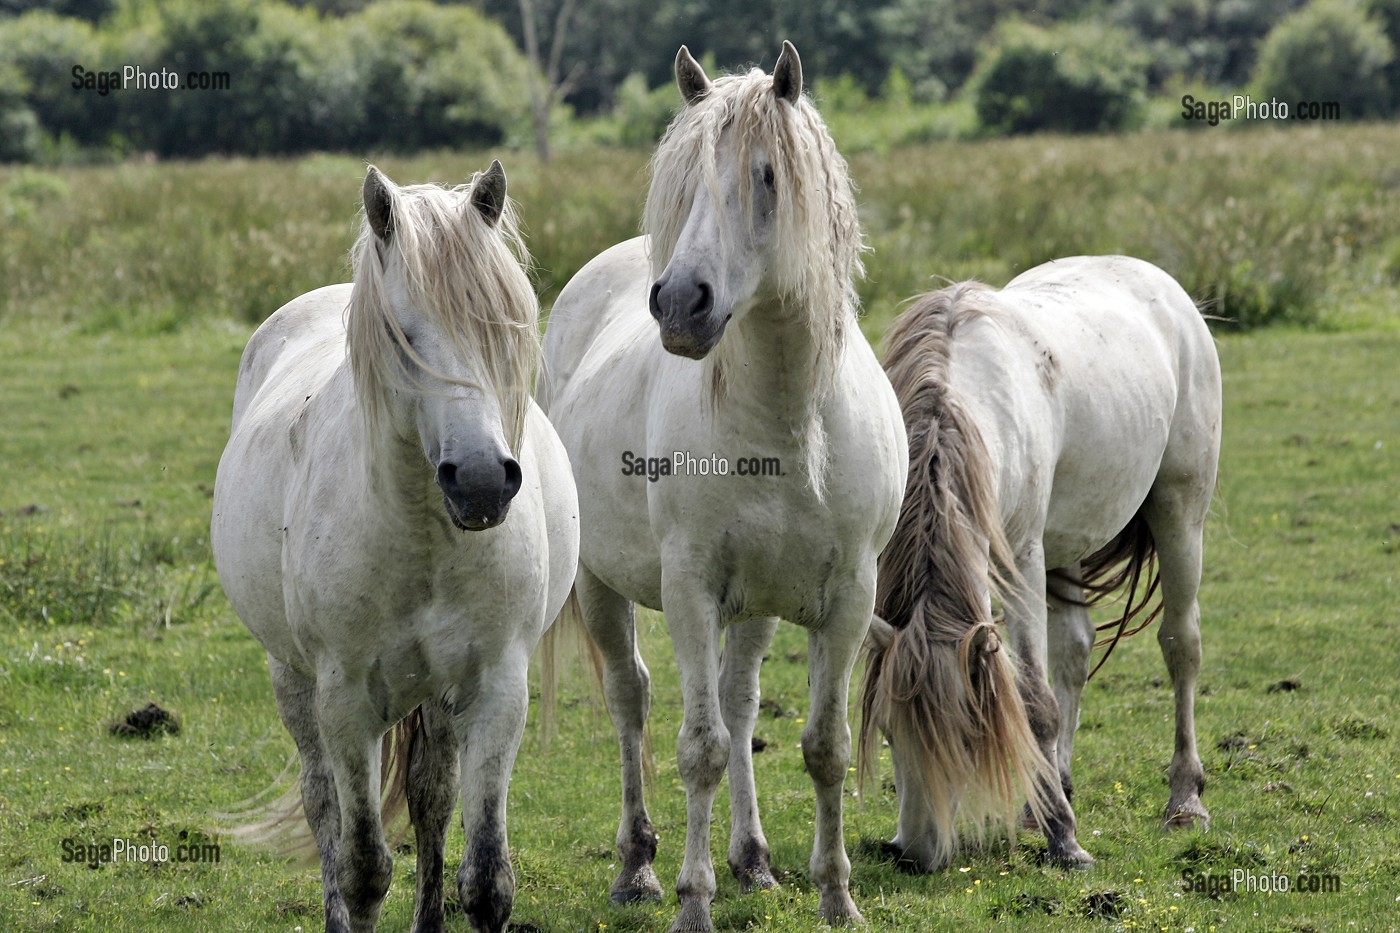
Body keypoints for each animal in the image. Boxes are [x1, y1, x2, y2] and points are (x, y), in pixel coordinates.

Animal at [208, 161, 579, 930]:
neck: (425, 540)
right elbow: (362, 869)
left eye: (503, 330)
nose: (481, 482)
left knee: (432, 798)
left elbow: (487, 879)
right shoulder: (347, 702)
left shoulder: (496, 689)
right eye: (403, 334)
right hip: (294, 679)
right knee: (323, 806)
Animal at [534, 43, 907, 930]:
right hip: (603, 585)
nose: (679, 302)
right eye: (682, 182)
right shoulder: (692, 589)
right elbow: (697, 748)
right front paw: (692, 903)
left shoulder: (847, 597)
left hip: (760, 604)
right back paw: (637, 867)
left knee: (740, 703)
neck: (787, 419)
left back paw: (754, 859)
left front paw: (837, 896)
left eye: (766, 175)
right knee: (631, 700)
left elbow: (823, 747)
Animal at [856, 252, 1220, 874]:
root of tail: (1163, 285)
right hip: (1065, 544)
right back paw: (1054, 792)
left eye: (966, 736)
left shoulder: (1024, 556)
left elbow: (1035, 702)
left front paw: (1066, 843)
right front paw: (1053, 818)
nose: (914, 854)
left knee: (1180, 646)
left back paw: (1184, 800)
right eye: (887, 731)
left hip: (1179, 513)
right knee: (1074, 649)